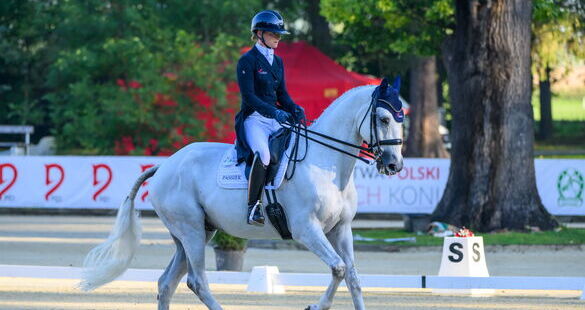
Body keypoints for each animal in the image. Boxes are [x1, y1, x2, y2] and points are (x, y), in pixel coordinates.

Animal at [80, 77, 404, 310]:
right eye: (384, 119)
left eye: (402, 118)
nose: (394, 164)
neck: (326, 164)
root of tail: (165, 165)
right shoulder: (307, 230)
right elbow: (338, 268)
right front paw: (315, 306)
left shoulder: (341, 229)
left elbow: (352, 276)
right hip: (191, 230)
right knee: (197, 281)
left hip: (195, 233)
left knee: (166, 283)